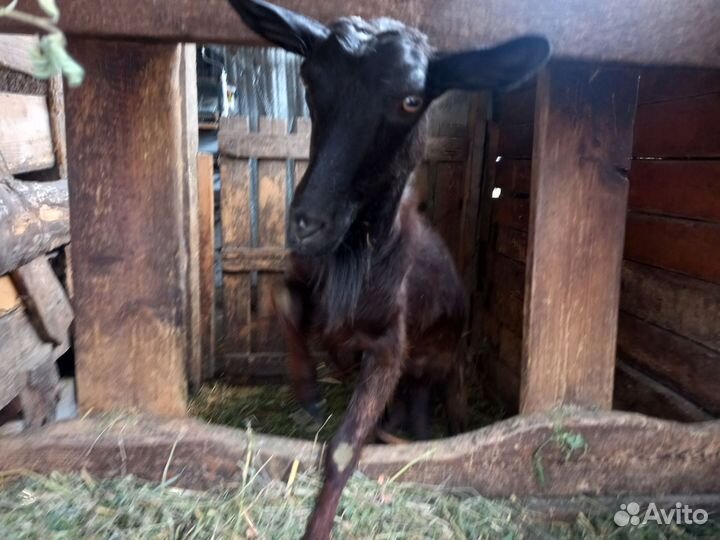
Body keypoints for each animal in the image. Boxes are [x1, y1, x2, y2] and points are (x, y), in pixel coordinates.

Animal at [227, 1, 550, 537]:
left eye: (411, 101)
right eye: (309, 79)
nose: (308, 222)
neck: (353, 260)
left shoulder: (389, 343)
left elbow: (342, 450)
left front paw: (318, 526)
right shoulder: (307, 282)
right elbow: (280, 296)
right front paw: (309, 392)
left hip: (448, 366)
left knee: (440, 418)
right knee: (405, 416)